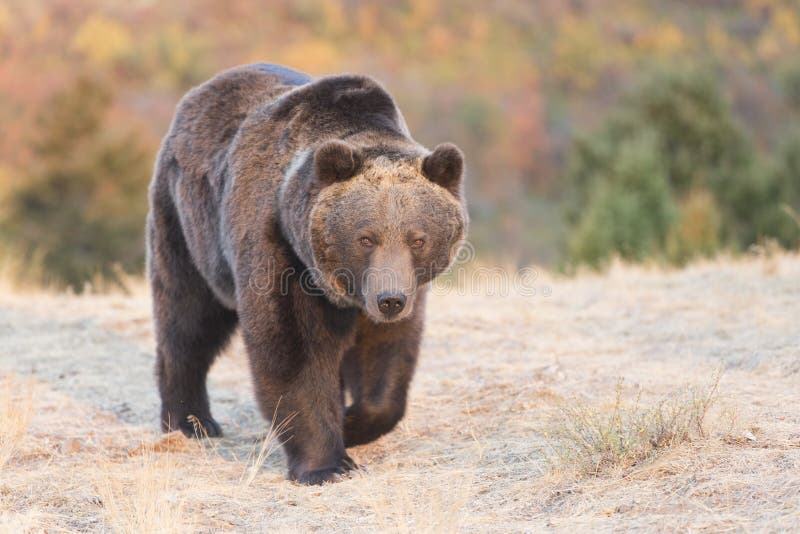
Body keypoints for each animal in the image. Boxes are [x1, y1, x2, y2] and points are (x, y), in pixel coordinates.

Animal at [147, 62, 466, 486]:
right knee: (188, 318)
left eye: (418, 239)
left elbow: (386, 355)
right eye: (365, 237)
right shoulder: (281, 252)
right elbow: (292, 351)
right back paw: (190, 421)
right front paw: (327, 464)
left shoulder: (401, 289)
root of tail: (202, 90)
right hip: (189, 225)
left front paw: (353, 422)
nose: (390, 300)